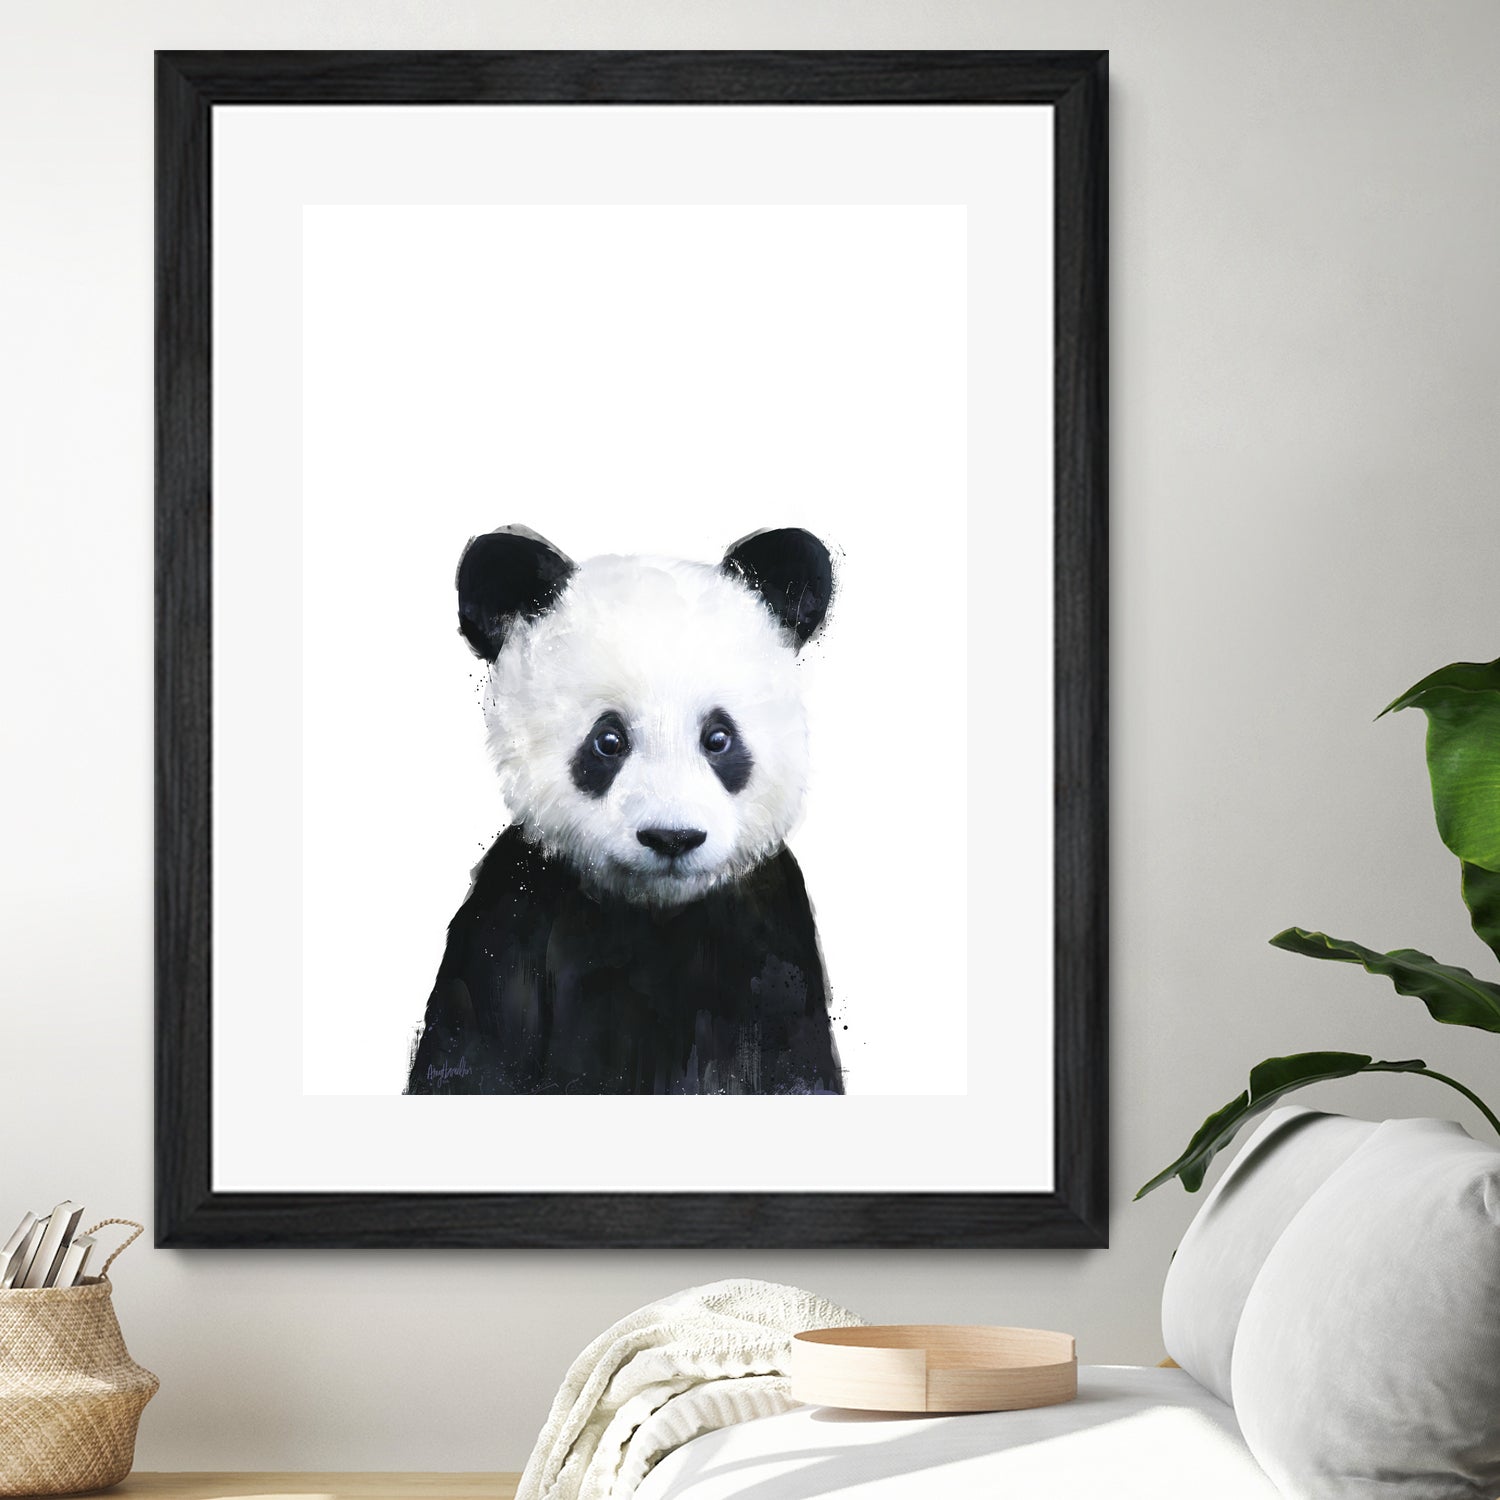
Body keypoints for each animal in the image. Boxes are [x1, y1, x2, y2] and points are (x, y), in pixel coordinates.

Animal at [405, 525, 844, 1096]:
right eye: (608, 740)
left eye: (718, 738)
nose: (672, 837)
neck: (654, 910)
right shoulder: (512, 918)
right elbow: (473, 1052)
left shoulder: (770, 936)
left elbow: (794, 1063)